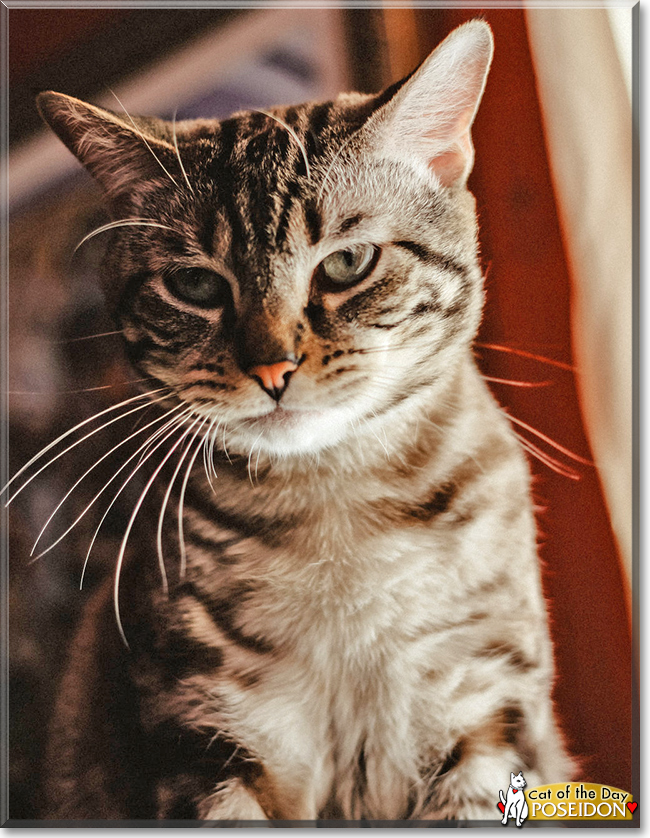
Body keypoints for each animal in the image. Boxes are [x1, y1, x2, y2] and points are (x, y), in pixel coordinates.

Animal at [25, 23, 572, 824]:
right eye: (195, 284)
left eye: (347, 264)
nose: (272, 367)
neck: (335, 508)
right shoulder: (210, 735)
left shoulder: (483, 710)